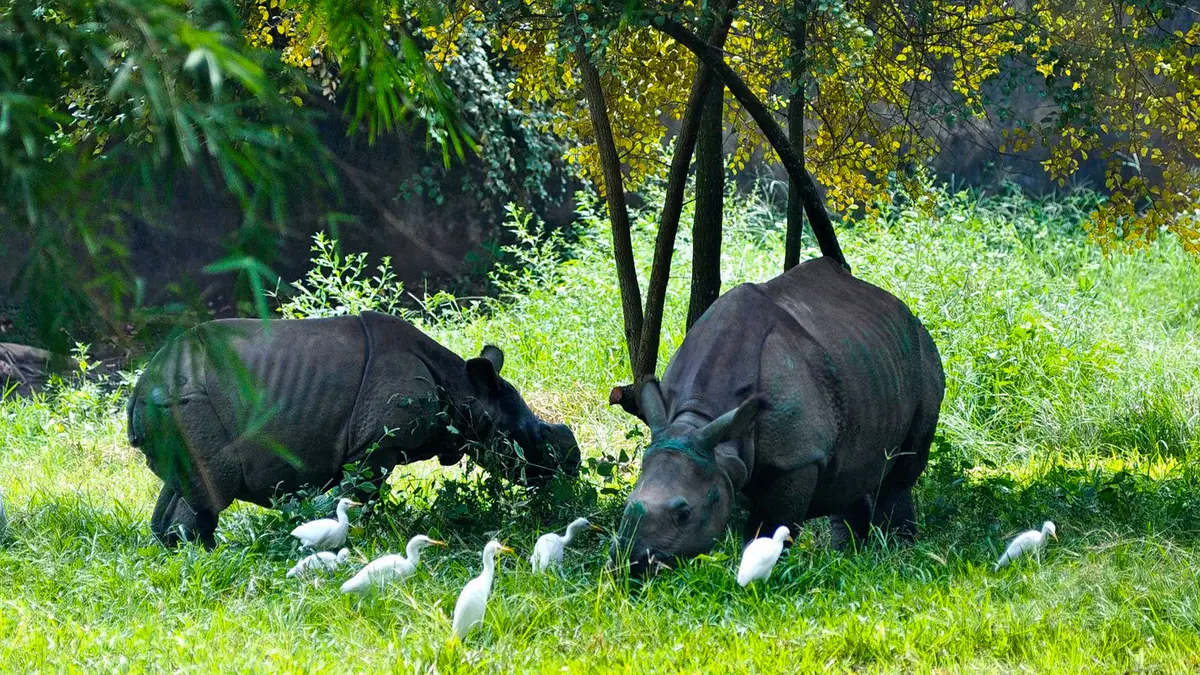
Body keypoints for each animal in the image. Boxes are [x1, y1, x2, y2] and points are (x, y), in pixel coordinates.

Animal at [128, 311, 580, 548]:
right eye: (538, 439)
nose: (573, 464)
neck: (463, 390)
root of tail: (138, 390)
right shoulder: (376, 445)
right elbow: (359, 494)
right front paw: (348, 535)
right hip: (189, 402)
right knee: (211, 486)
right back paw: (206, 553)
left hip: (174, 406)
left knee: (181, 485)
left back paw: (175, 550)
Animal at [610, 257, 944, 573]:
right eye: (627, 503)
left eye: (684, 513)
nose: (631, 565)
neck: (700, 420)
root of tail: (899, 306)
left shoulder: (797, 457)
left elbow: (768, 529)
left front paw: (764, 570)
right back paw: (847, 554)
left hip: (922, 348)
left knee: (903, 469)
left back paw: (898, 555)